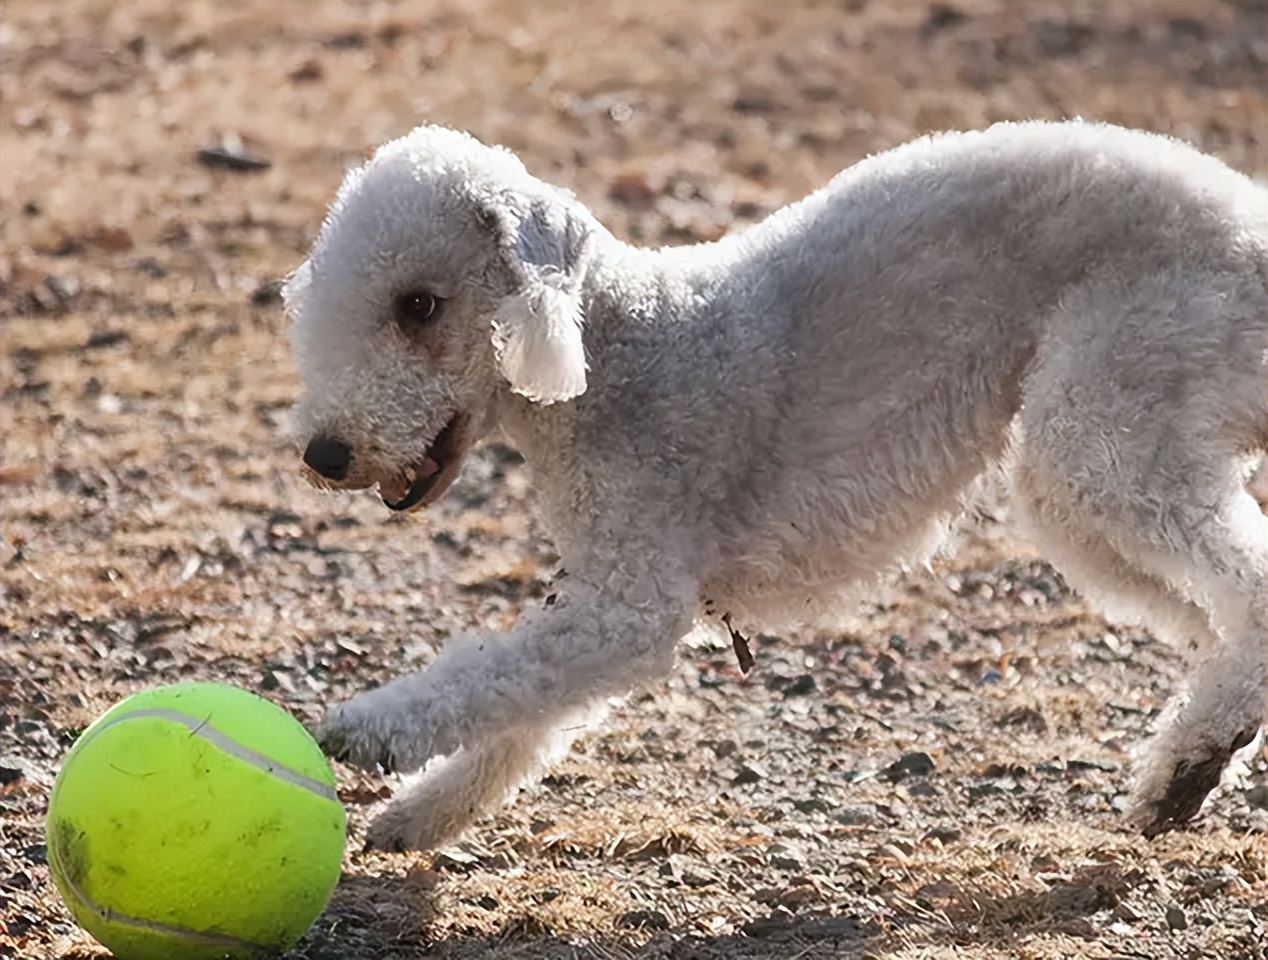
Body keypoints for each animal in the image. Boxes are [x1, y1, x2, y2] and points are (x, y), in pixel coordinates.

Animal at [287, 119, 1268, 847]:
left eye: (419, 306)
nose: (323, 456)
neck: (614, 353)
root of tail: (1252, 228)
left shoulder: (629, 597)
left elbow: (498, 671)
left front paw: (369, 729)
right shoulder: (601, 588)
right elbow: (526, 701)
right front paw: (420, 816)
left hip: (1111, 407)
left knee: (1245, 589)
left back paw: (1193, 758)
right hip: (1096, 470)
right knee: (1213, 615)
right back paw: (1189, 764)